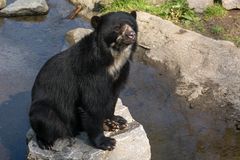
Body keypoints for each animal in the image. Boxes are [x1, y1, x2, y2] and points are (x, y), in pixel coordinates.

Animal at [29, 10, 138, 151]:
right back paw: (45, 143)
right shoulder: (89, 73)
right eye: (117, 28)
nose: (132, 35)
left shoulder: (121, 73)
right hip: (45, 110)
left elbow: (113, 98)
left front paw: (116, 120)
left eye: (132, 25)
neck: (113, 58)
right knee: (45, 119)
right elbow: (90, 103)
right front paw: (106, 142)